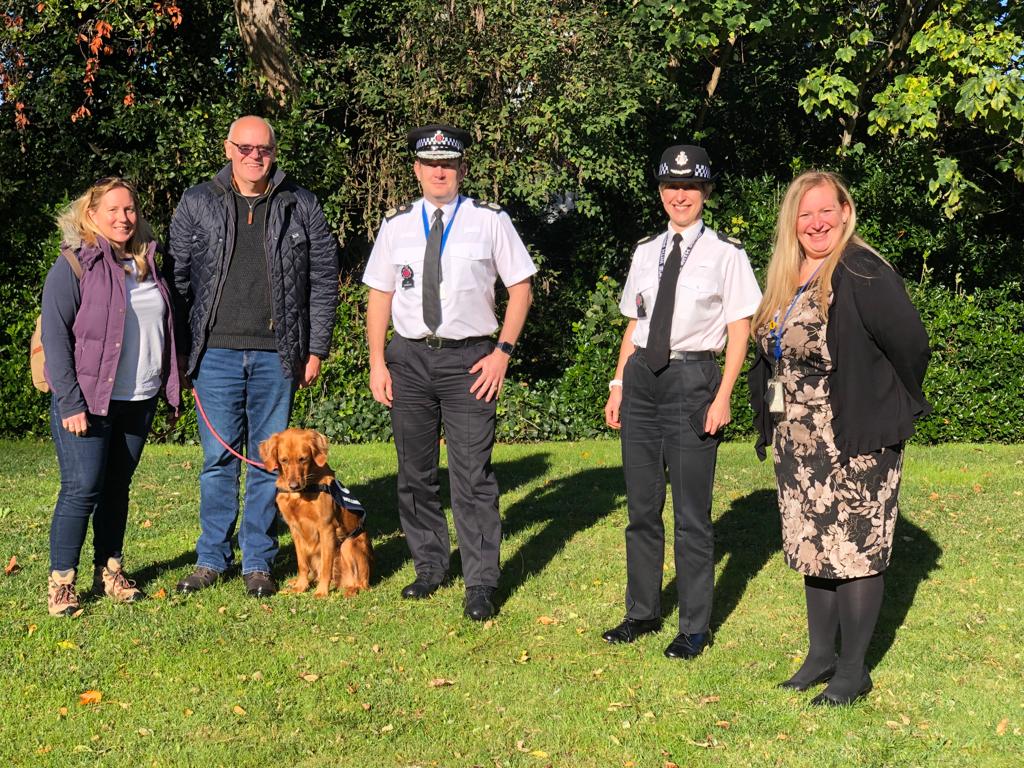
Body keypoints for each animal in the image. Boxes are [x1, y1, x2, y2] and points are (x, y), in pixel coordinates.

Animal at [258, 430, 374, 598]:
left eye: (303, 459)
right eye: (283, 460)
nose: (293, 486)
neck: (302, 493)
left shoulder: (326, 527)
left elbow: (326, 565)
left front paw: (321, 592)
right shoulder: (295, 529)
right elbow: (302, 564)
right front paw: (300, 586)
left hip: (348, 544)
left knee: (362, 584)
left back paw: (350, 590)